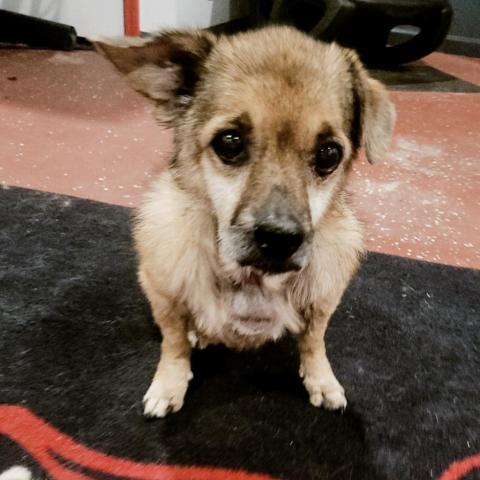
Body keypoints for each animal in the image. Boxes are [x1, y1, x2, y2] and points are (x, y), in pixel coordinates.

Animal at [94, 25, 394, 416]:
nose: (280, 238)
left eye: (330, 154)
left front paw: (321, 380)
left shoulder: (323, 302)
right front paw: (170, 383)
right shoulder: (163, 295)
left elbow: (314, 342)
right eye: (230, 142)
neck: (253, 279)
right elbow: (173, 344)